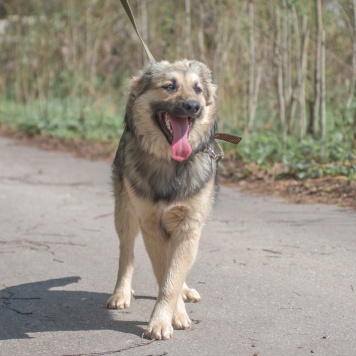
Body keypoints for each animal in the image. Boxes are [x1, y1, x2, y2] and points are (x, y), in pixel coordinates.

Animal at [105, 58, 217, 340]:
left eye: (198, 89)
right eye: (169, 86)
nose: (193, 106)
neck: (170, 162)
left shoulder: (188, 227)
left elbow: (172, 277)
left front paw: (168, 314)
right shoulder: (151, 226)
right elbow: (163, 274)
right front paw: (168, 319)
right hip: (125, 214)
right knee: (126, 254)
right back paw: (121, 292)